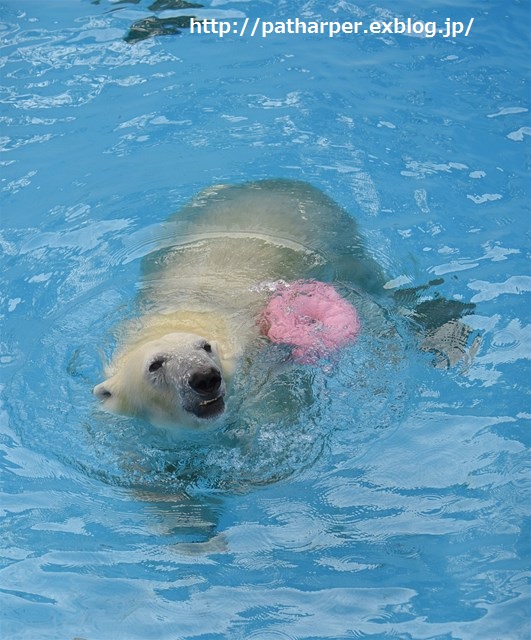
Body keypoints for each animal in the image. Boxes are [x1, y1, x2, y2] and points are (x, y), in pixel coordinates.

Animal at [94, 180, 386, 428]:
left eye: (206, 346)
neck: (178, 316)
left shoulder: (258, 367)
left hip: (335, 236)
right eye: (155, 365)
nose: (205, 378)